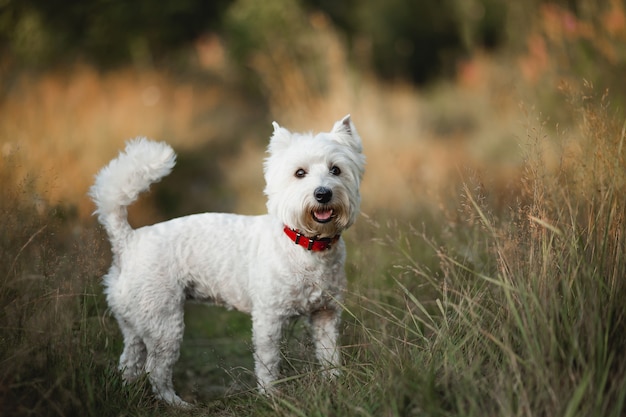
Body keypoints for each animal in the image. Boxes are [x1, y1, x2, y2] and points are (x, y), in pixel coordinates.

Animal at [91, 115, 366, 404]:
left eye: (336, 170)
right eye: (299, 173)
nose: (323, 194)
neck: (306, 245)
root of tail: (127, 241)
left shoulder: (326, 315)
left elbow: (330, 356)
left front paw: (336, 386)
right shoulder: (268, 318)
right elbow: (268, 363)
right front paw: (271, 396)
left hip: (134, 323)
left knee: (129, 364)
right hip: (163, 323)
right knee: (156, 371)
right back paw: (178, 404)